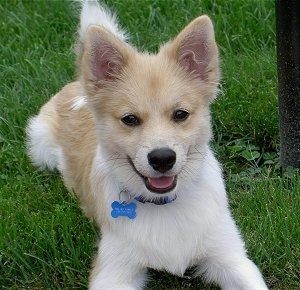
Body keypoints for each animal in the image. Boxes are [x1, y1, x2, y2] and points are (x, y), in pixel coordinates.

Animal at [27, 1, 268, 288]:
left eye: (180, 114)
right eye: (130, 119)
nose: (162, 158)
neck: (165, 206)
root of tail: (78, 86)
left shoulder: (230, 256)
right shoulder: (113, 270)